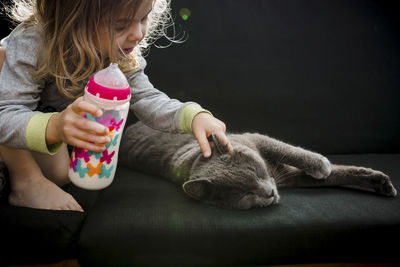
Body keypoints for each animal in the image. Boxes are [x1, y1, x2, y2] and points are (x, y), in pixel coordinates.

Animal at [119, 122, 396, 210]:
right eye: (245, 194)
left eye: (255, 172)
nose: (270, 193)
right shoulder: (287, 178)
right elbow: (332, 176)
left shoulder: (256, 139)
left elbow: (287, 149)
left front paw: (321, 164)